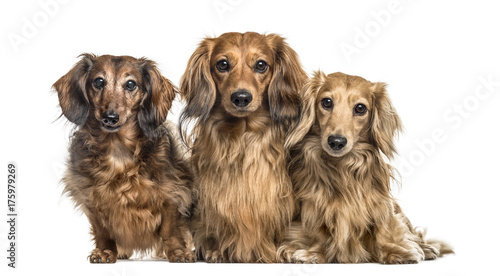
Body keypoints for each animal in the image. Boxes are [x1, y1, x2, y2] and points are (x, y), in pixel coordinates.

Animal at [53, 54, 195, 264]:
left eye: (130, 84)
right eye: (98, 82)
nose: (110, 117)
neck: (118, 152)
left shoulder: (172, 194)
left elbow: (169, 230)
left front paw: (178, 252)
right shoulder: (91, 199)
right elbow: (102, 232)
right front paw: (105, 251)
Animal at [282, 72, 454, 264]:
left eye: (360, 108)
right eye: (326, 102)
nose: (336, 142)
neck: (342, 167)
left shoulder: (380, 203)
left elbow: (385, 228)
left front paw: (396, 251)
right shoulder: (313, 205)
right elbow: (318, 232)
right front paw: (314, 253)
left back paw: (427, 248)